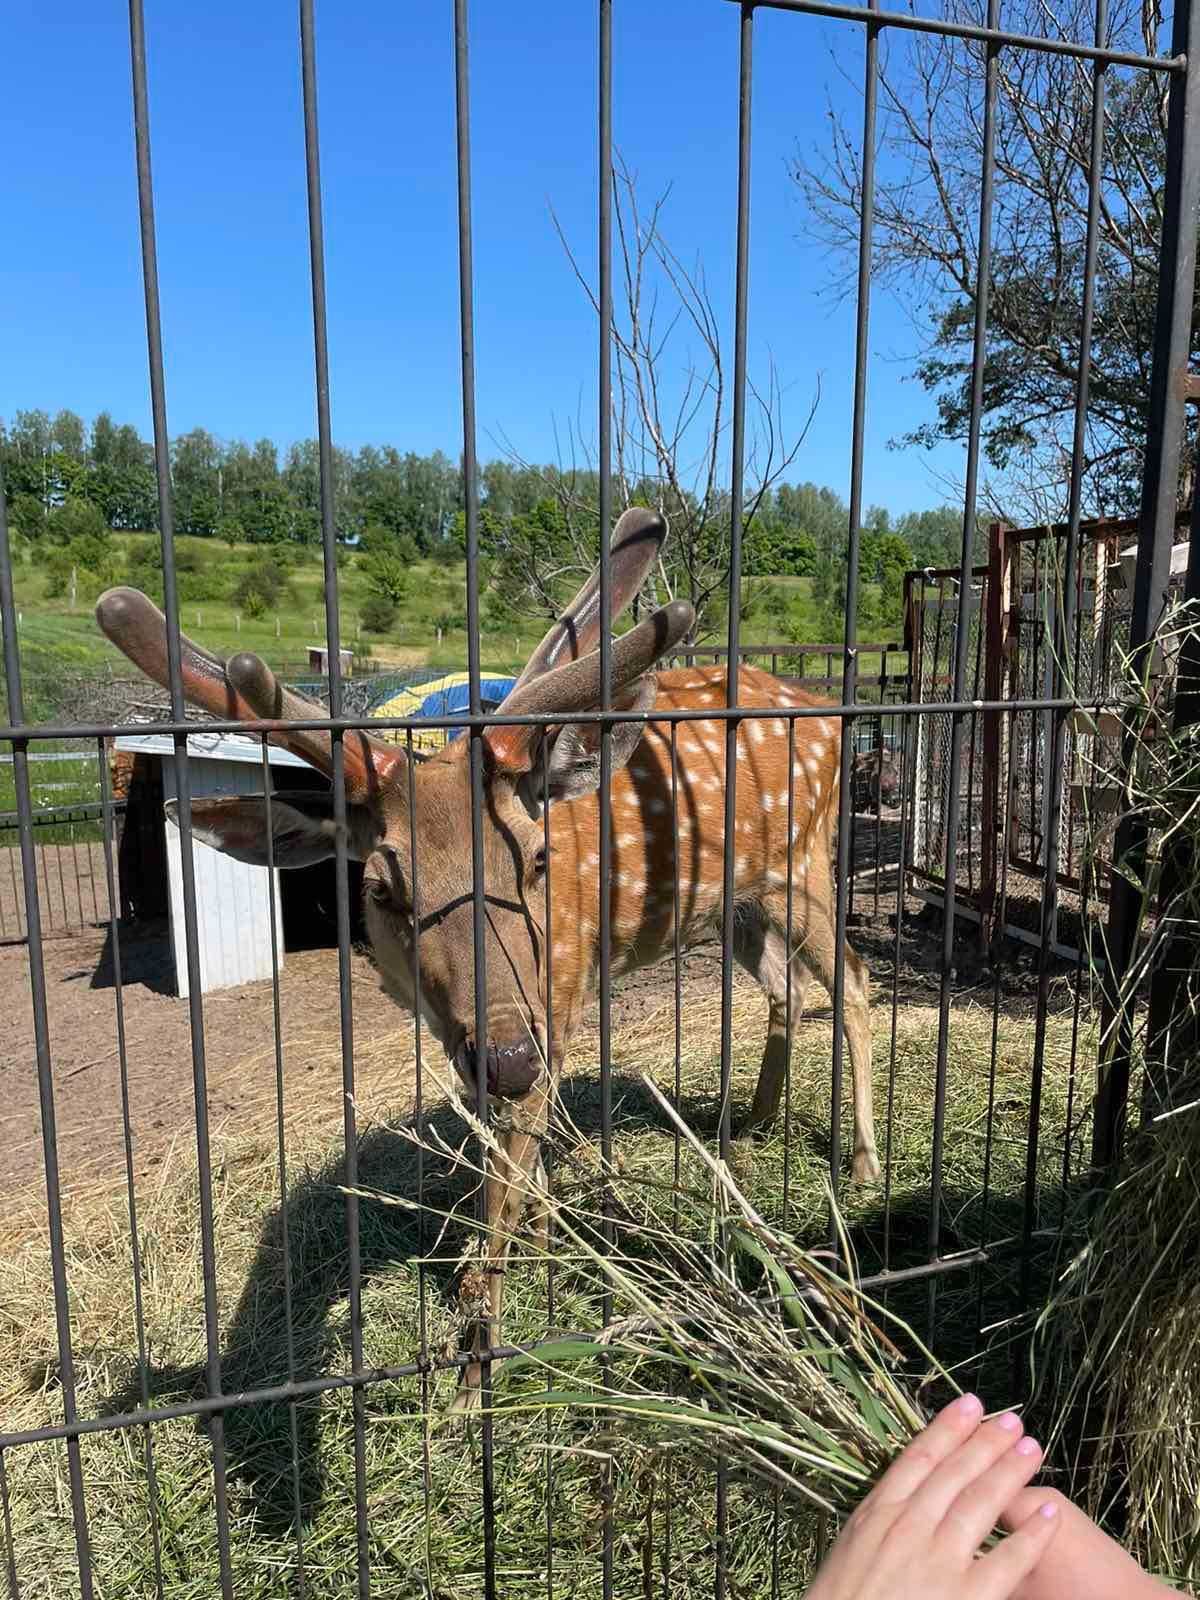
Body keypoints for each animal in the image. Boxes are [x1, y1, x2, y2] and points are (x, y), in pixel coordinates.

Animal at [96, 505, 883, 1408]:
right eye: (378, 886)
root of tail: (831, 709)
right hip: (735, 904)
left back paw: (864, 1164)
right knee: (787, 986)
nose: (507, 1055)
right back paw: (746, 1124)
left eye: (537, 860)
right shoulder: (465, 1029)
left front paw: (478, 1365)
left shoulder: (560, 995)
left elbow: (504, 1178)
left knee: (855, 981)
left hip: (806, 864)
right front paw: (542, 1240)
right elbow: (506, 1164)